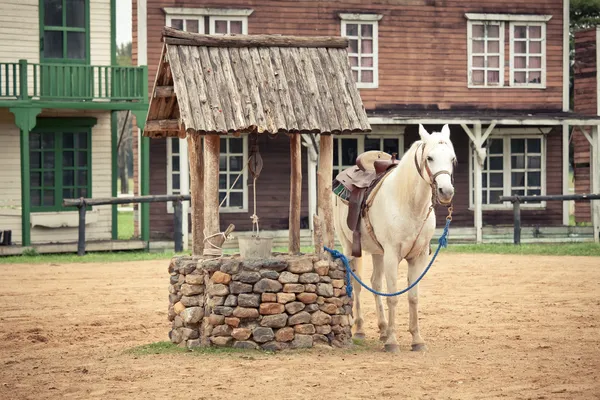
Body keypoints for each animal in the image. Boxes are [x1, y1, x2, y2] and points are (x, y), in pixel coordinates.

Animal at [332, 123, 454, 352]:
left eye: (452, 158)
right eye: (430, 158)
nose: (446, 192)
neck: (408, 203)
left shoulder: (418, 257)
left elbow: (413, 297)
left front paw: (417, 339)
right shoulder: (391, 255)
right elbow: (393, 298)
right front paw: (392, 341)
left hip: (377, 253)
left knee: (375, 284)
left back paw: (382, 329)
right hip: (349, 247)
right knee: (358, 285)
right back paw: (359, 329)